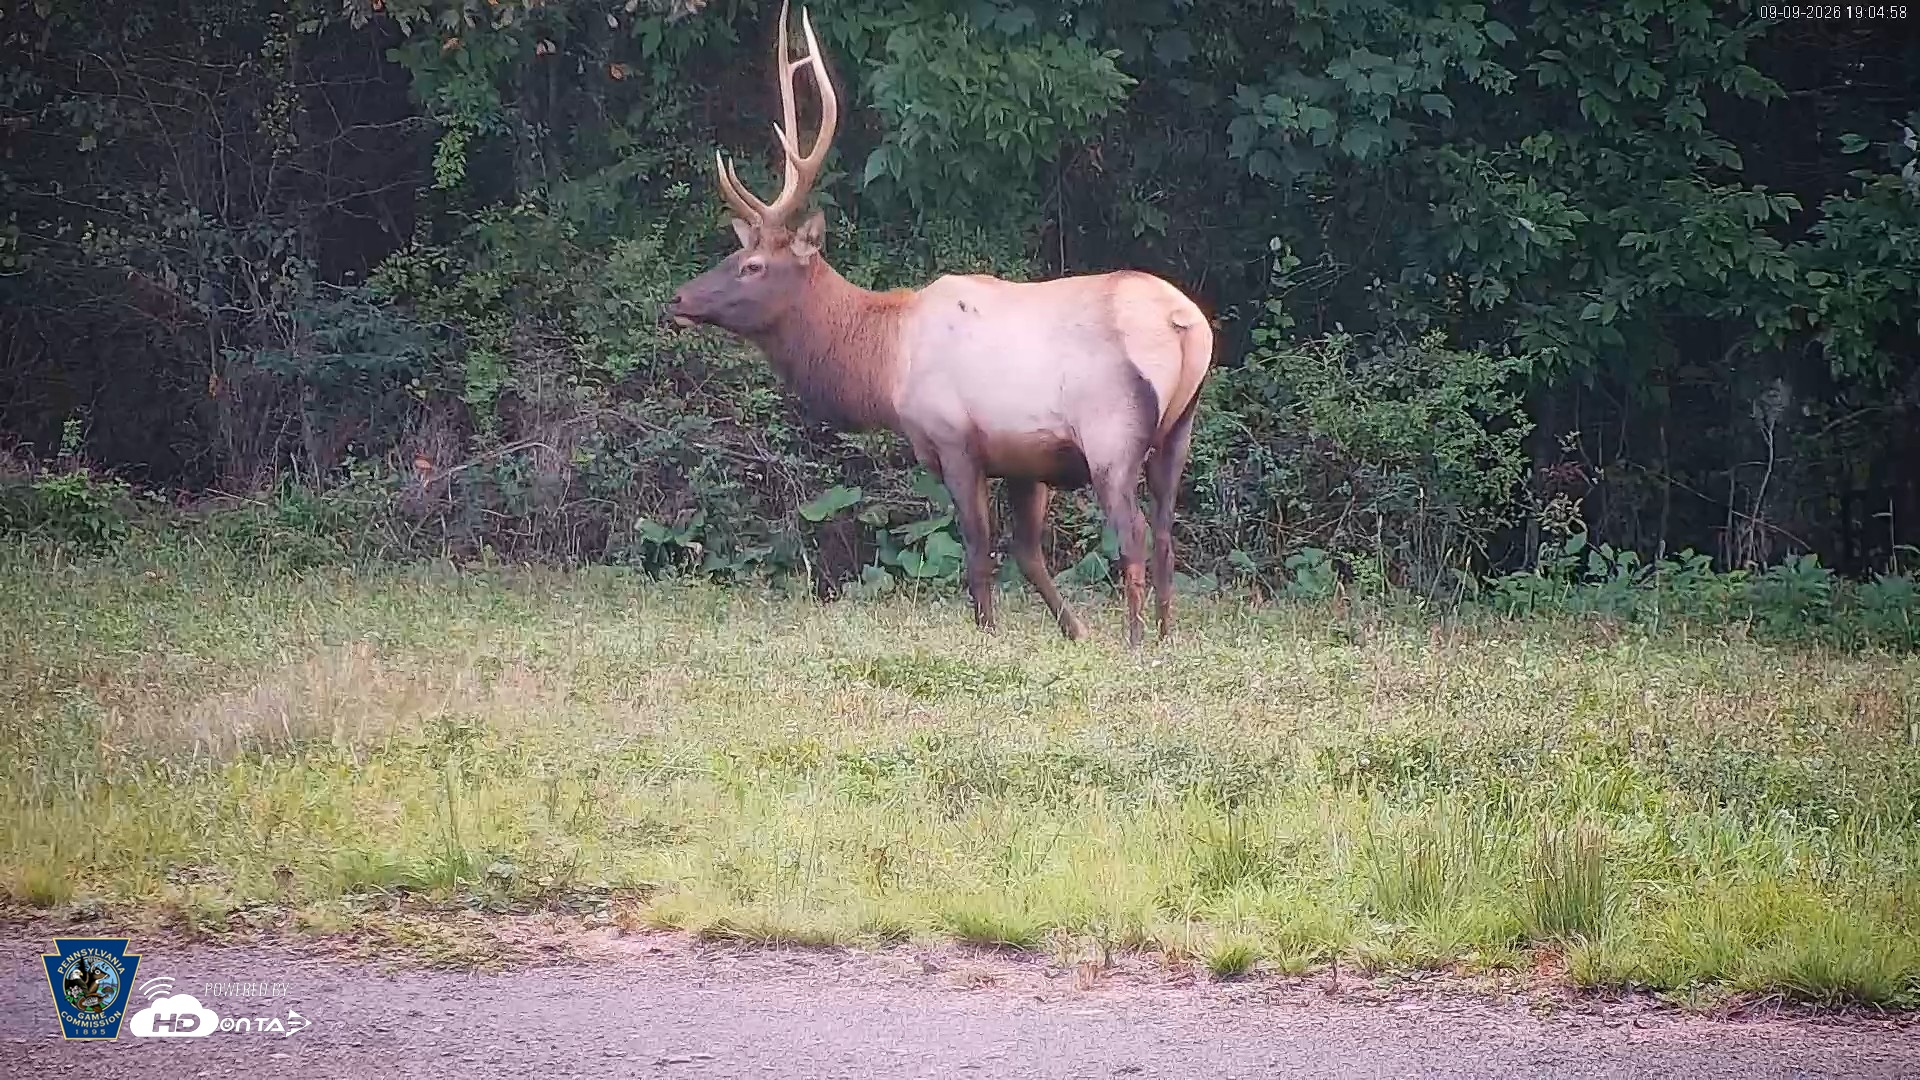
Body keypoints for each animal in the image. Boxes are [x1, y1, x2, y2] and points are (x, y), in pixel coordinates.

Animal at [664, 2, 1214, 648]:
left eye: (751, 265)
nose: (679, 298)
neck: (884, 364)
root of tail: (1185, 323)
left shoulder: (954, 436)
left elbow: (977, 550)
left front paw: (989, 634)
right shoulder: (1026, 458)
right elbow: (1027, 554)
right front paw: (1074, 632)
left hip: (1111, 431)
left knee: (1131, 534)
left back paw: (1134, 642)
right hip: (1179, 428)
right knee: (1166, 533)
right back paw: (1165, 636)